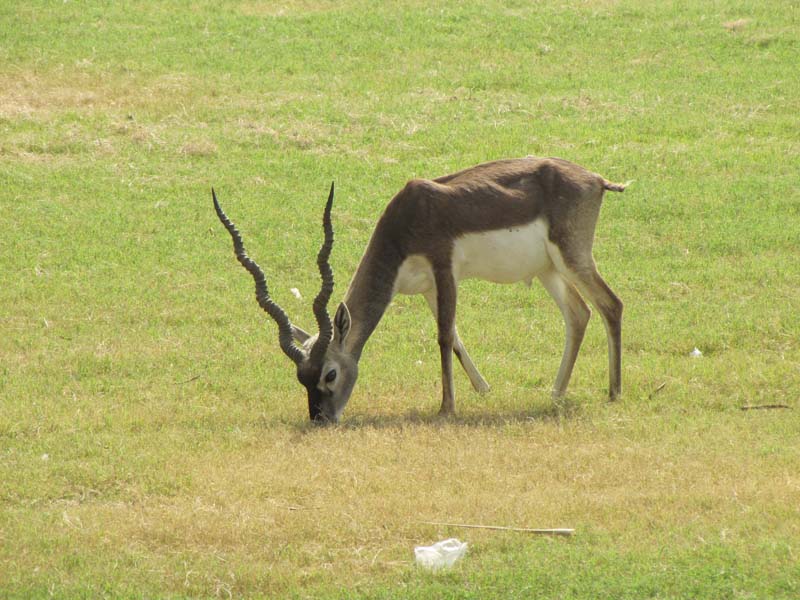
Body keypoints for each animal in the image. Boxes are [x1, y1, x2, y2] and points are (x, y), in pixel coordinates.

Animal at [216, 157, 628, 424]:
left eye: (330, 374)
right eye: (301, 377)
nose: (320, 419)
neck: (407, 219)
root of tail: (595, 179)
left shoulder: (444, 270)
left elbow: (443, 337)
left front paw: (447, 408)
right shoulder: (428, 288)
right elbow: (457, 339)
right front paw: (483, 390)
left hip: (573, 257)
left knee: (611, 304)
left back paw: (613, 393)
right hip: (548, 270)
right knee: (579, 314)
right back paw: (555, 393)